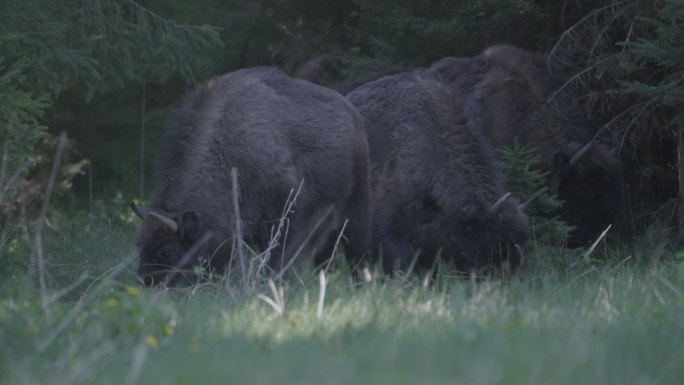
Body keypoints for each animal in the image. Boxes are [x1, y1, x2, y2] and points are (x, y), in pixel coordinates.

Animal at [132, 67, 372, 284]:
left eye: (166, 251)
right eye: (140, 246)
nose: (147, 281)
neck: (225, 151)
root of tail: (355, 116)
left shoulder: (286, 206)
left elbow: (278, 252)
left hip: (354, 203)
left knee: (356, 240)